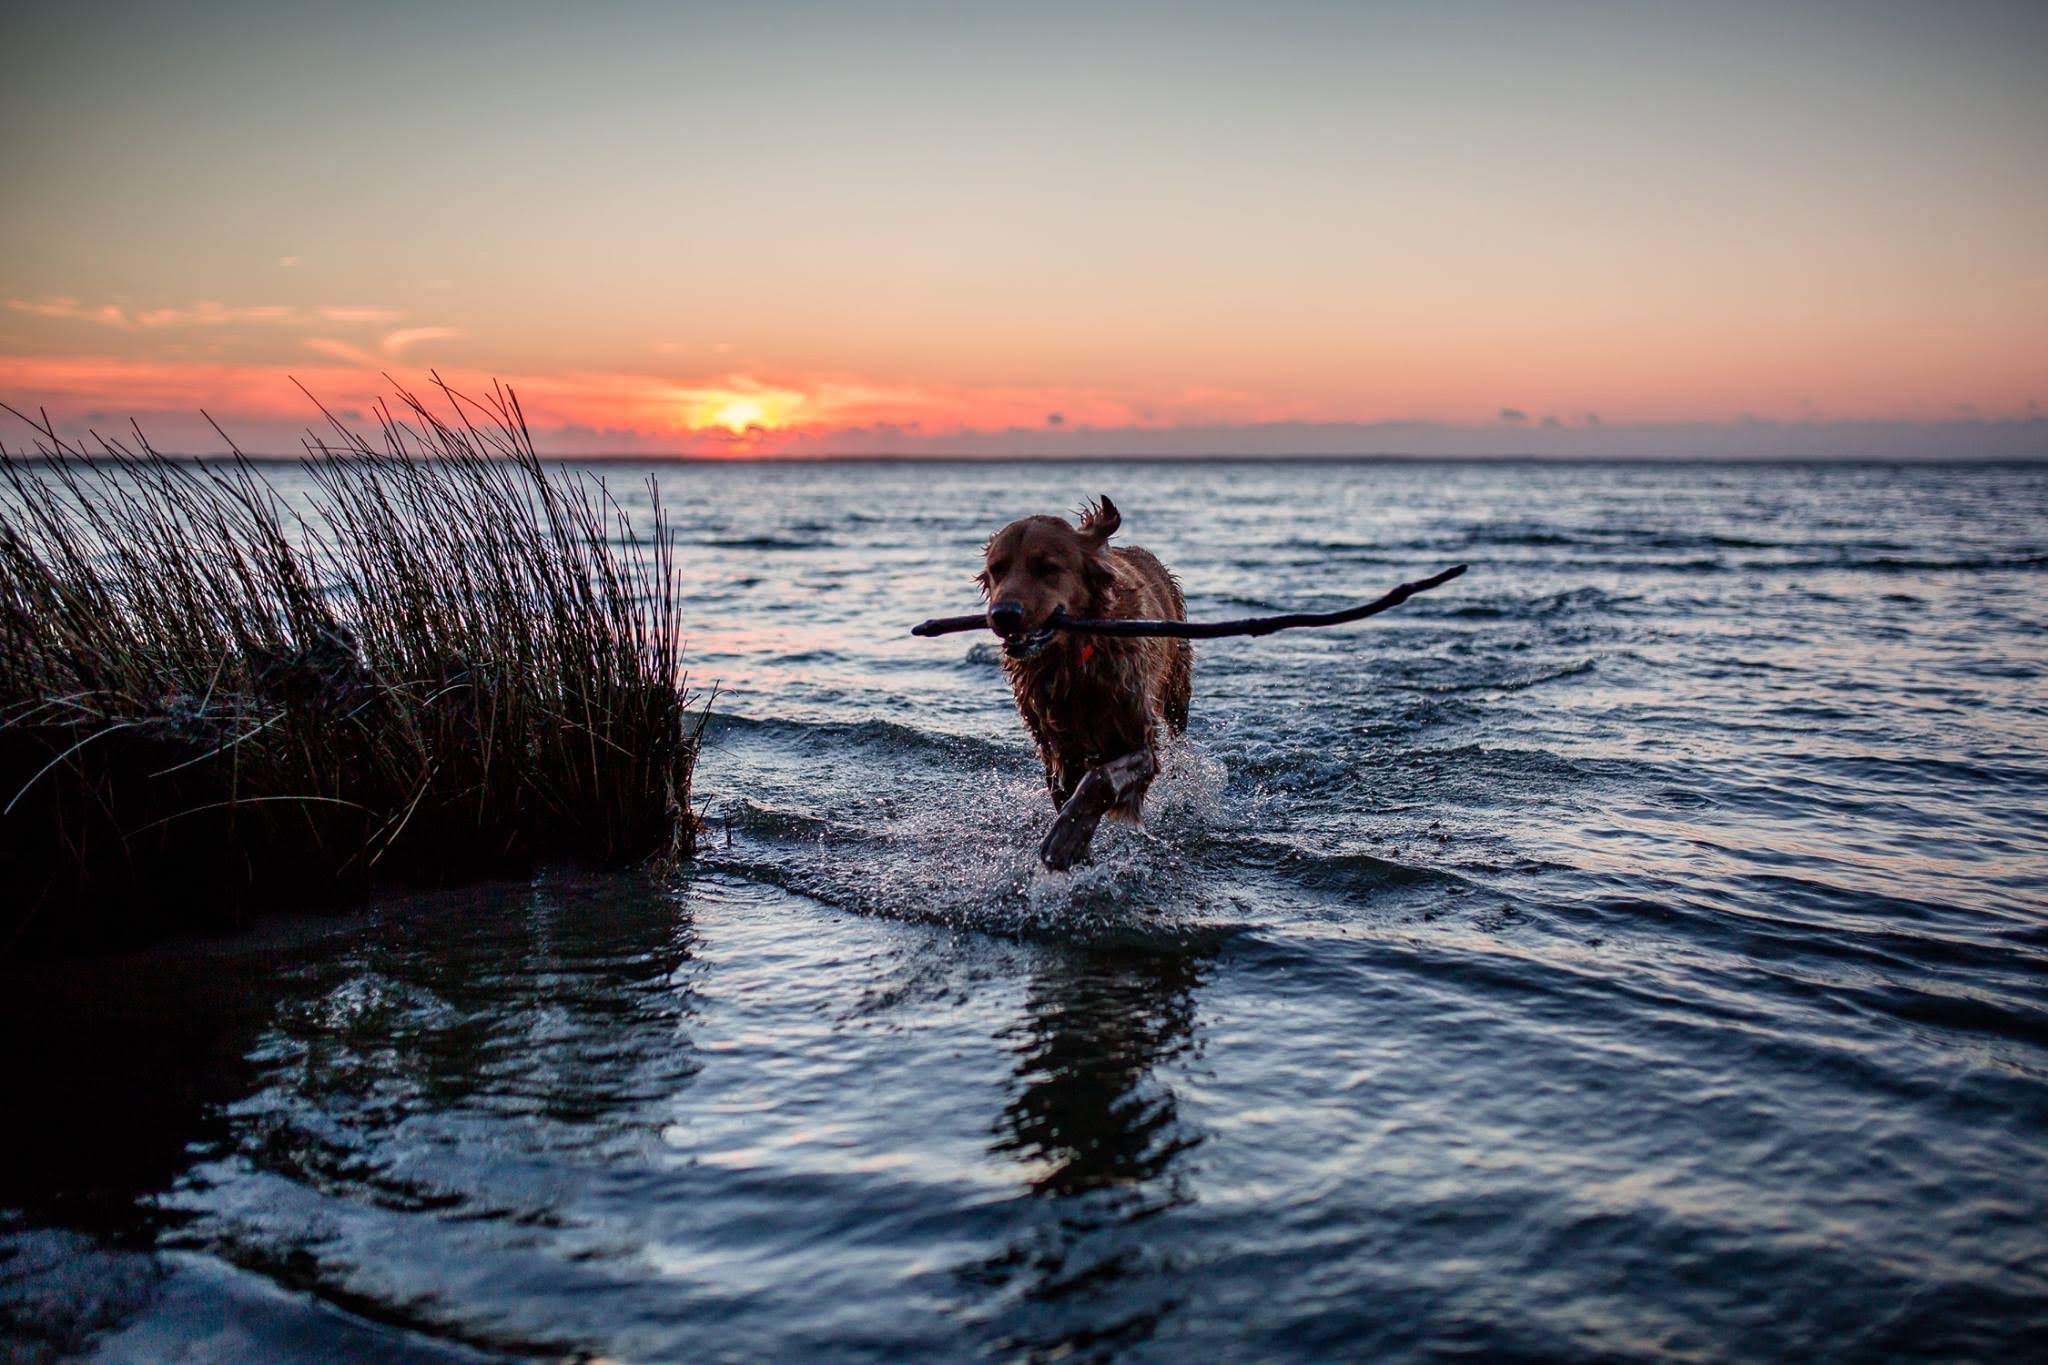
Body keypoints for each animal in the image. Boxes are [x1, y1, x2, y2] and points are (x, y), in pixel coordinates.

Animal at [978, 497, 1196, 871]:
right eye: (997, 569)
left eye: (1047, 568)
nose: (1003, 615)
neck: (1075, 661)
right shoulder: (1057, 747)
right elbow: (1067, 790)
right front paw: (1079, 847)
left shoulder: (1138, 735)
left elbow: (1103, 779)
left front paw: (1066, 840)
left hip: (1177, 689)